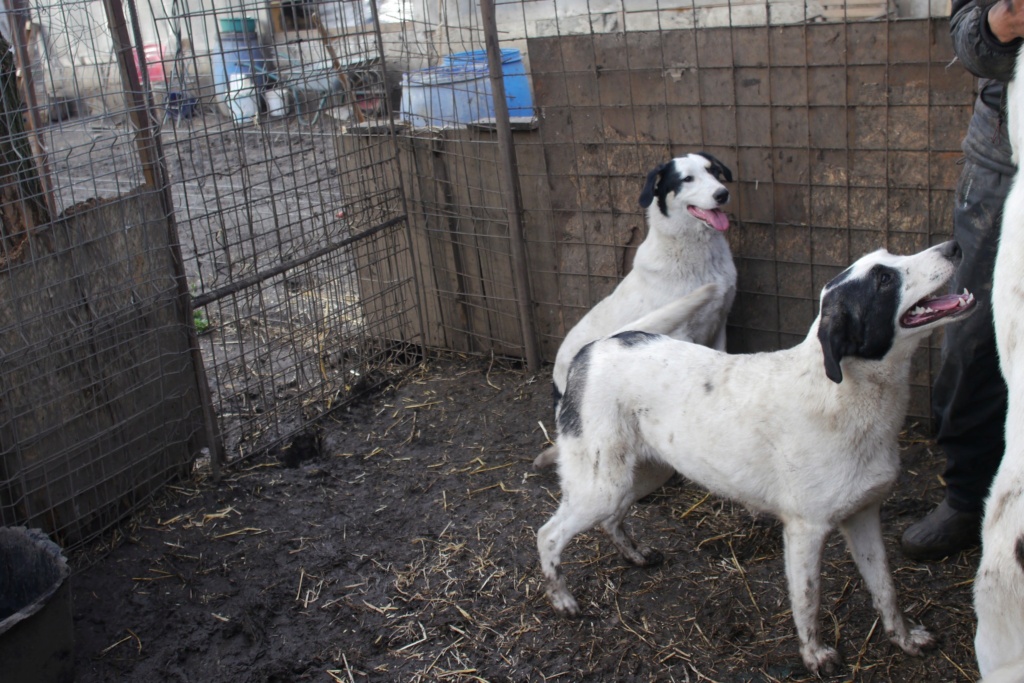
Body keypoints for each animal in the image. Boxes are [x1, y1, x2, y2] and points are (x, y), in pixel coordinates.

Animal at [536, 240, 974, 671]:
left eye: (892, 256)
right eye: (884, 279)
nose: (954, 246)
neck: (844, 392)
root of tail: (596, 347)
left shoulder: (865, 515)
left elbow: (887, 590)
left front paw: (905, 639)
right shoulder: (805, 530)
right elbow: (808, 601)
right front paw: (814, 656)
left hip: (641, 474)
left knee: (611, 520)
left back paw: (636, 556)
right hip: (601, 486)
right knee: (548, 534)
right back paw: (562, 599)